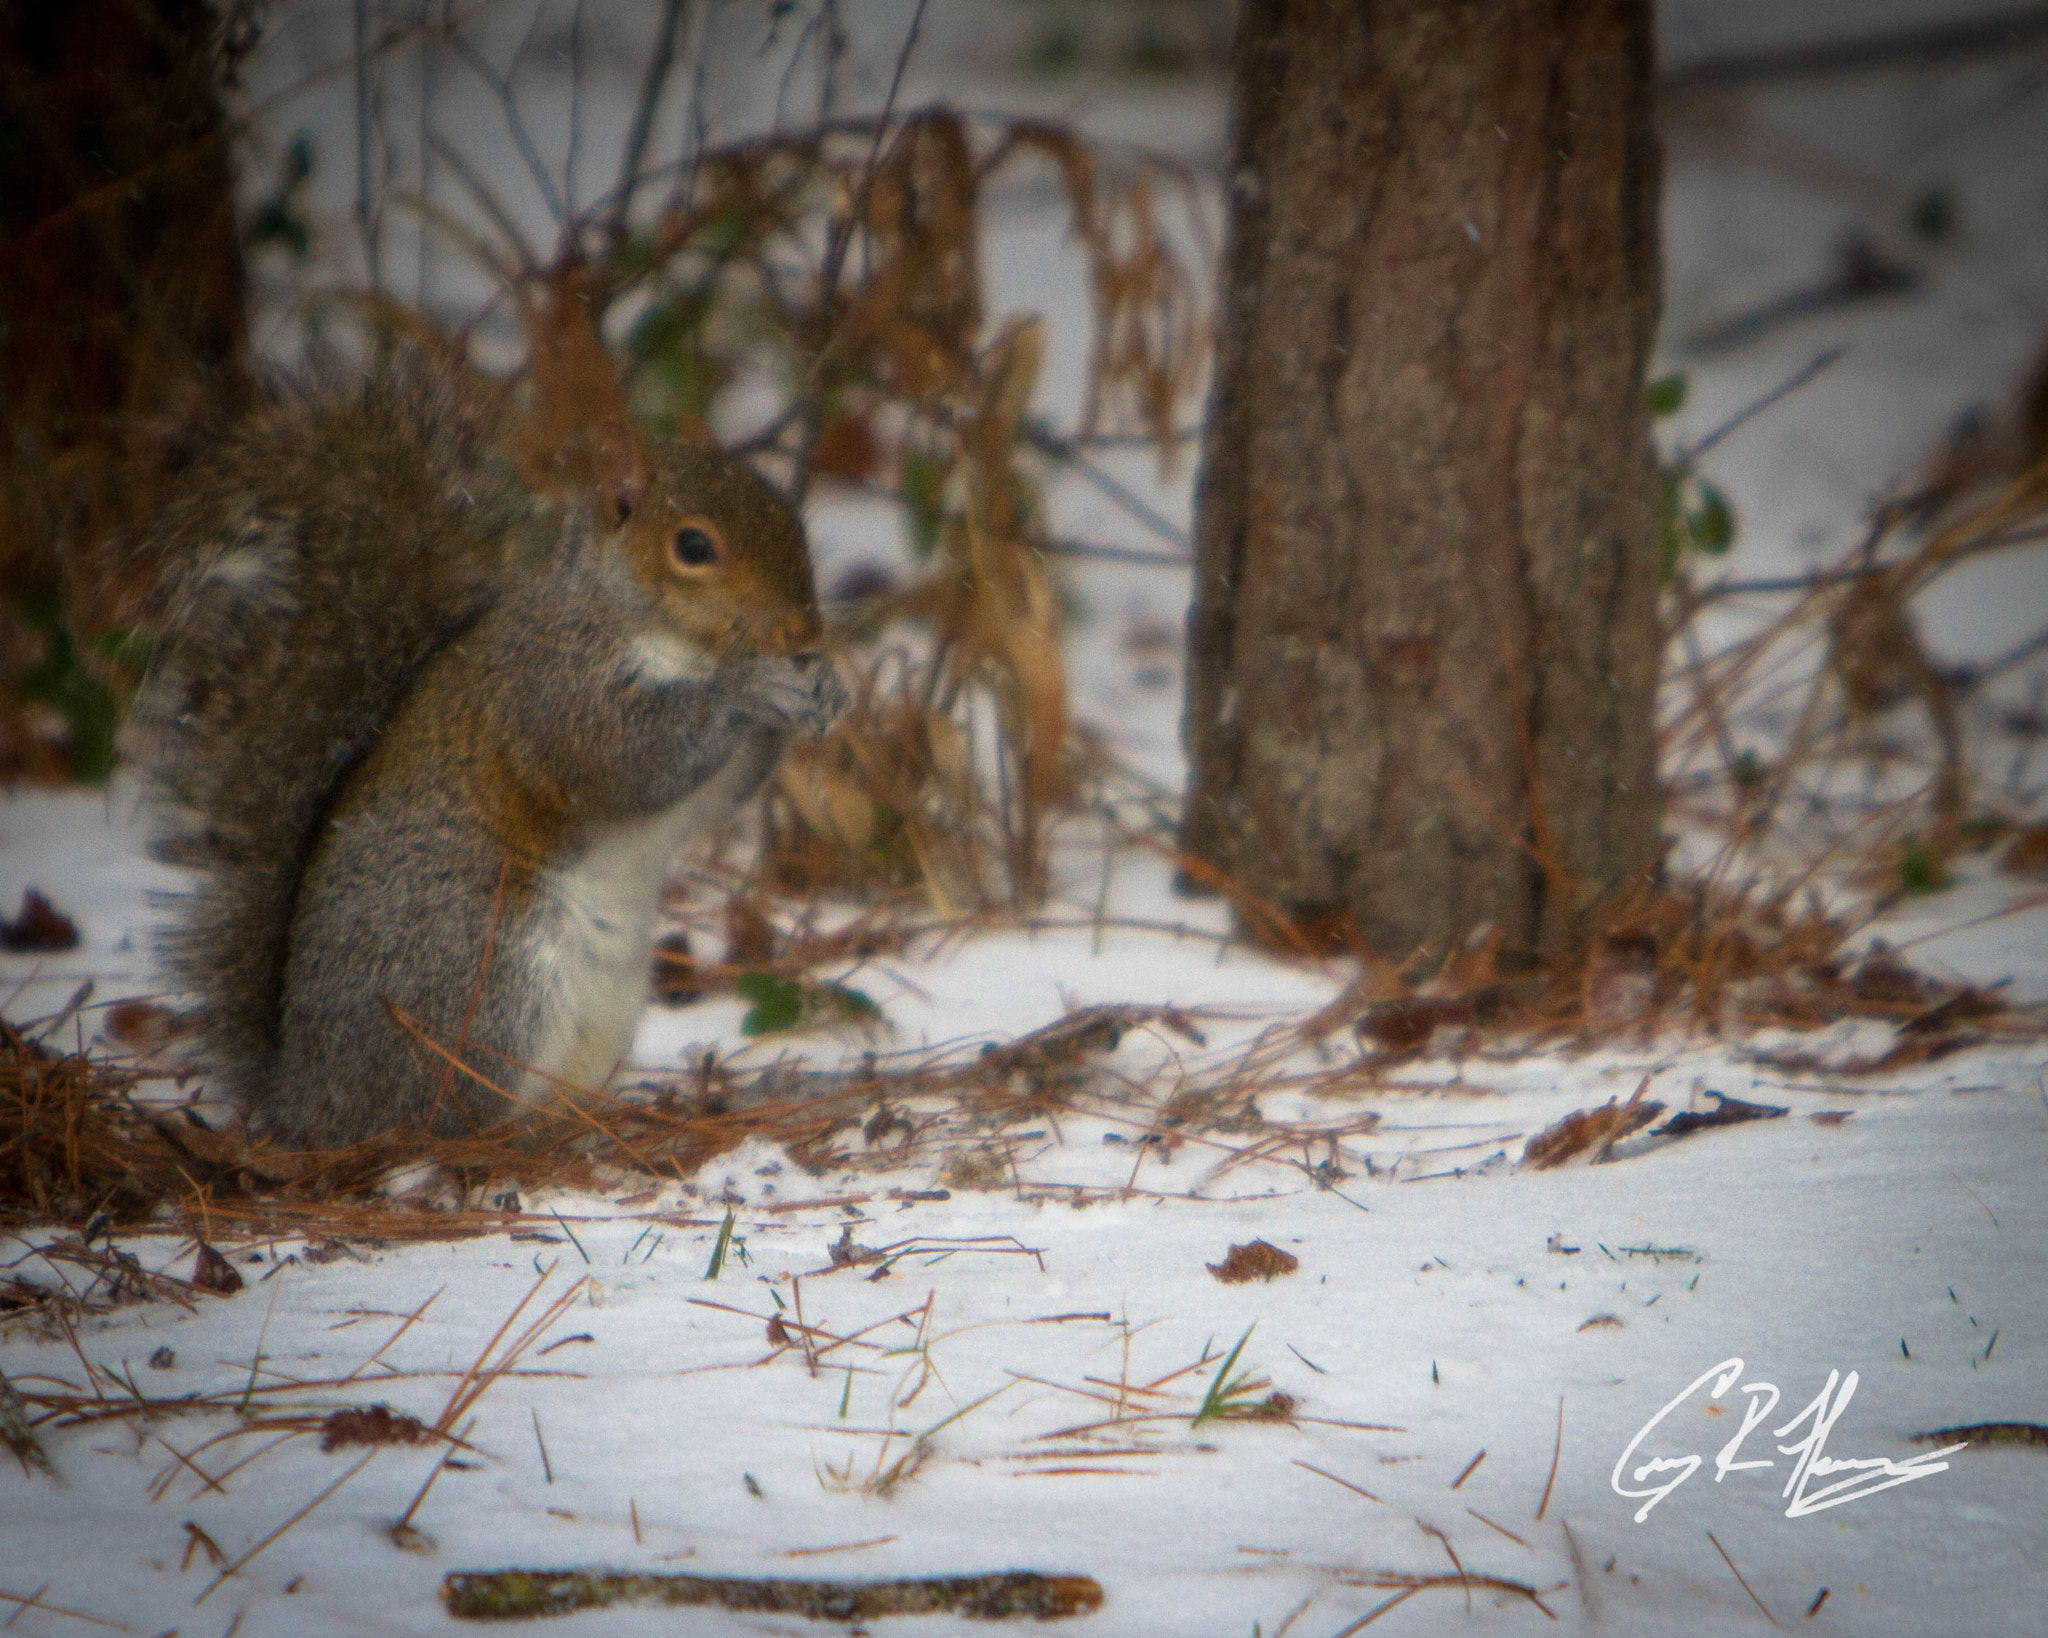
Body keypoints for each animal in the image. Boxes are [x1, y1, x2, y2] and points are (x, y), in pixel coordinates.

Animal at [132, 364, 843, 1146]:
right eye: (693, 547)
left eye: (792, 518)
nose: (802, 628)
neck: (653, 631)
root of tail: (306, 1100)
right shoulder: (554, 690)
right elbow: (630, 759)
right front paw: (756, 684)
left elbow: (721, 791)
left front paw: (823, 689)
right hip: (484, 976)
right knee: (451, 1109)